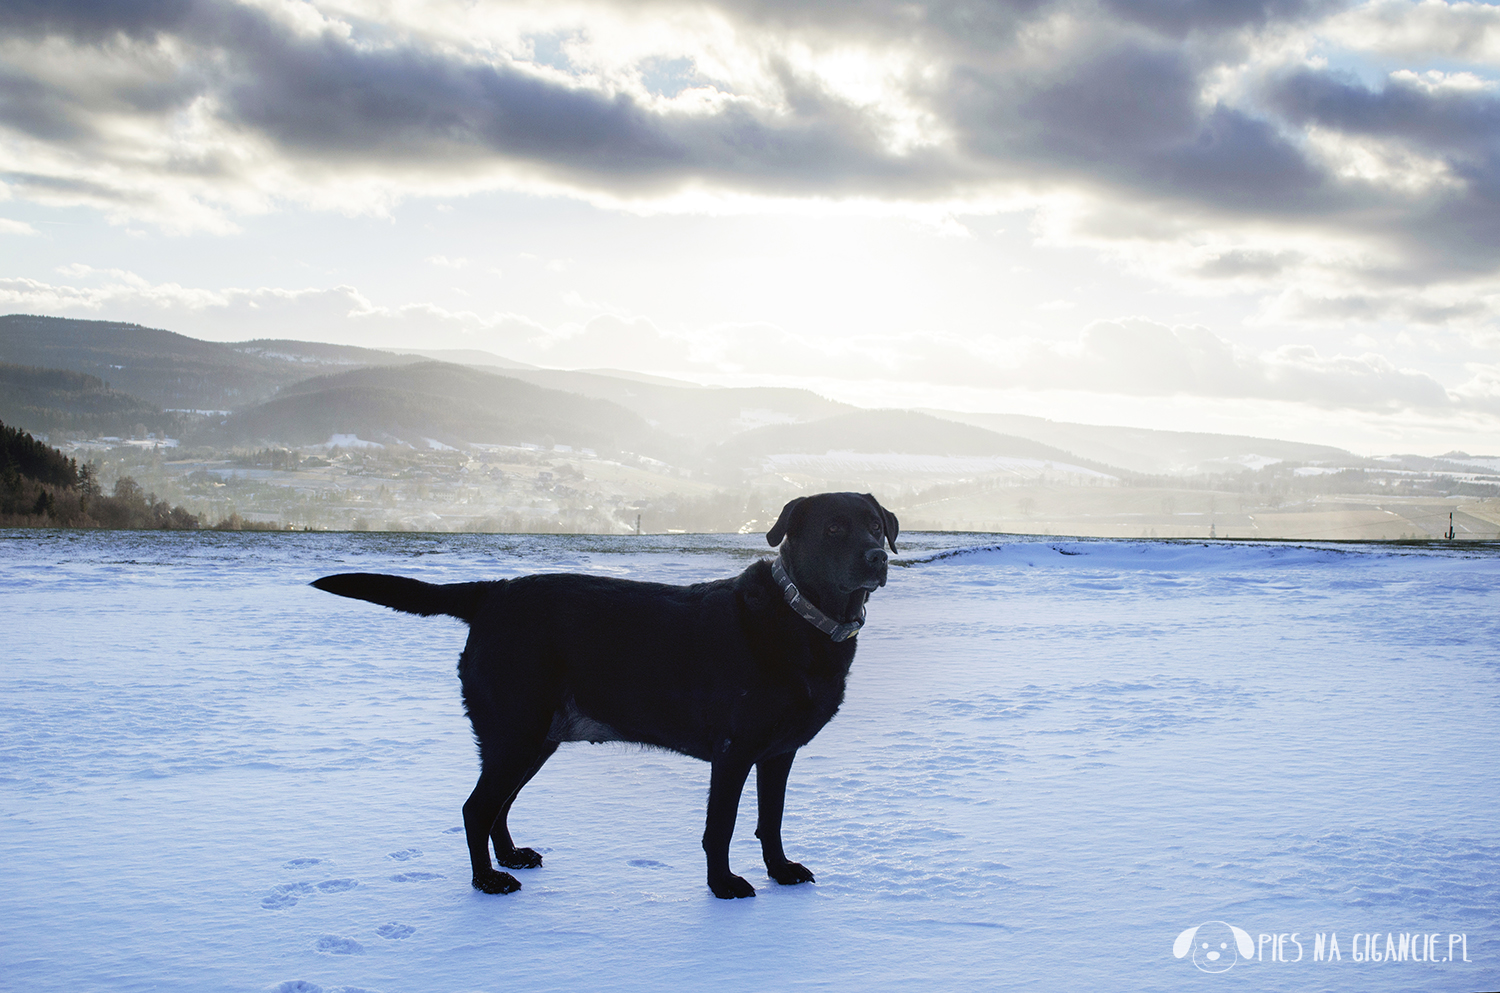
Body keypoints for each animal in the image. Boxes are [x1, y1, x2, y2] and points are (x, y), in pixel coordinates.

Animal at [312, 492, 894, 900]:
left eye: (874, 524)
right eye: (834, 527)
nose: (876, 557)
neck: (804, 619)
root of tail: (492, 592)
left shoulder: (778, 753)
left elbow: (770, 821)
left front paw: (780, 871)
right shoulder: (733, 752)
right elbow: (721, 827)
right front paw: (723, 886)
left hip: (532, 738)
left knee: (498, 804)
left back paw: (511, 858)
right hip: (516, 731)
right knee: (476, 807)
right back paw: (488, 882)